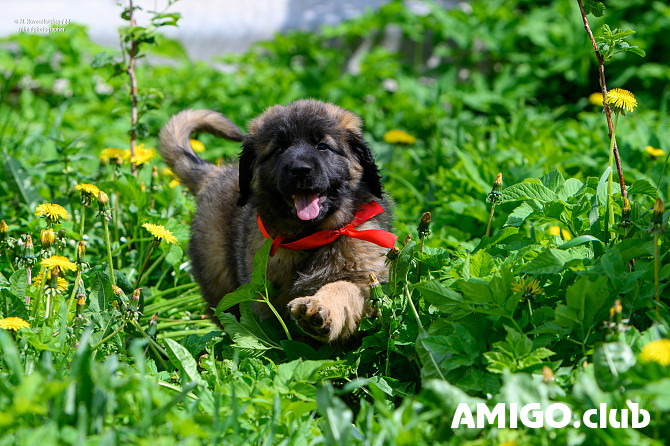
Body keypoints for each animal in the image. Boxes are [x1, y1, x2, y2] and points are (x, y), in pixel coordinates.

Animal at [159, 98, 396, 342]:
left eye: (322, 146)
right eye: (279, 150)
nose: (300, 170)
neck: (313, 237)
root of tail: (215, 174)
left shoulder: (368, 281)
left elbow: (343, 288)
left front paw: (317, 308)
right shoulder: (261, 297)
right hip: (218, 278)